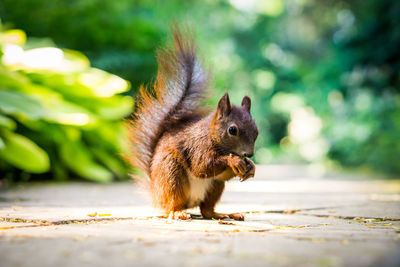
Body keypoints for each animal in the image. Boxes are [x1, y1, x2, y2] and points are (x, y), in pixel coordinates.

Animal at [128, 25, 260, 222]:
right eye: (232, 130)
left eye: (257, 131)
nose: (249, 154)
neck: (211, 136)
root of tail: (156, 194)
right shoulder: (197, 146)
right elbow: (201, 167)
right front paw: (235, 160)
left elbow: (218, 172)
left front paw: (251, 167)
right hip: (172, 176)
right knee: (173, 204)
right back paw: (178, 213)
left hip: (215, 186)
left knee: (207, 210)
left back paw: (225, 214)